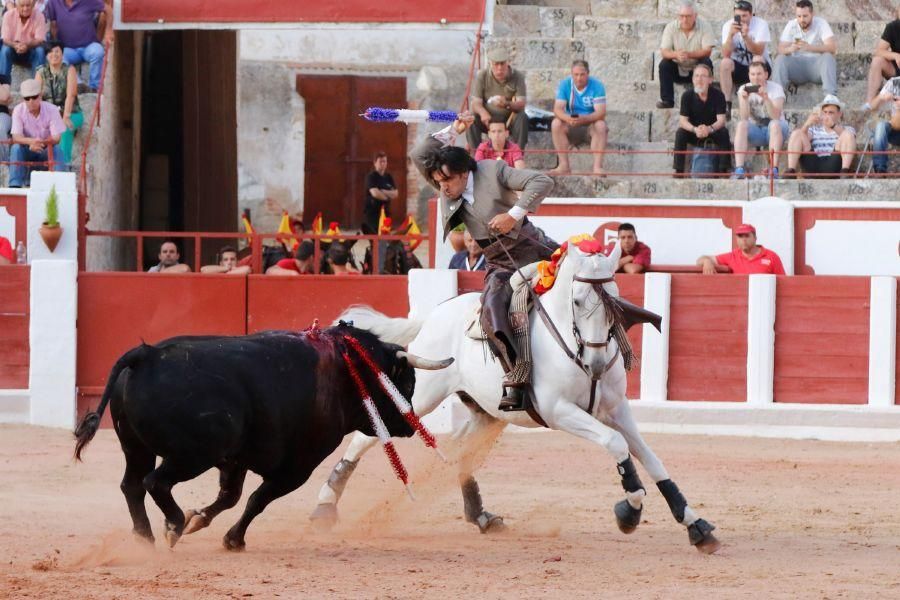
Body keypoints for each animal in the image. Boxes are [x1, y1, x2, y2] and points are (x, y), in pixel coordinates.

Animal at [72, 326, 450, 552]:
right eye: (406, 382)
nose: (411, 424)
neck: (343, 371)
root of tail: (146, 355)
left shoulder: (235, 459)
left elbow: (231, 497)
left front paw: (200, 519)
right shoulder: (297, 467)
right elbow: (258, 499)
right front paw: (232, 539)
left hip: (137, 448)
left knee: (132, 485)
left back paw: (145, 538)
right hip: (192, 455)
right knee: (155, 482)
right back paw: (172, 527)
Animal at [312, 239, 720, 552]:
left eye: (615, 300)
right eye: (577, 301)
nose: (597, 363)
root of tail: (434, 317)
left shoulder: (617, 409)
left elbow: (652, 458)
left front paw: (696, 526)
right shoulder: (559, 411)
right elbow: (616, 444)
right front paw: (630, 511)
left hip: (487, 413)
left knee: (461, 452)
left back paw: (481, 516)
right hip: (423, 396)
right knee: (365, 437)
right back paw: (324, 507)